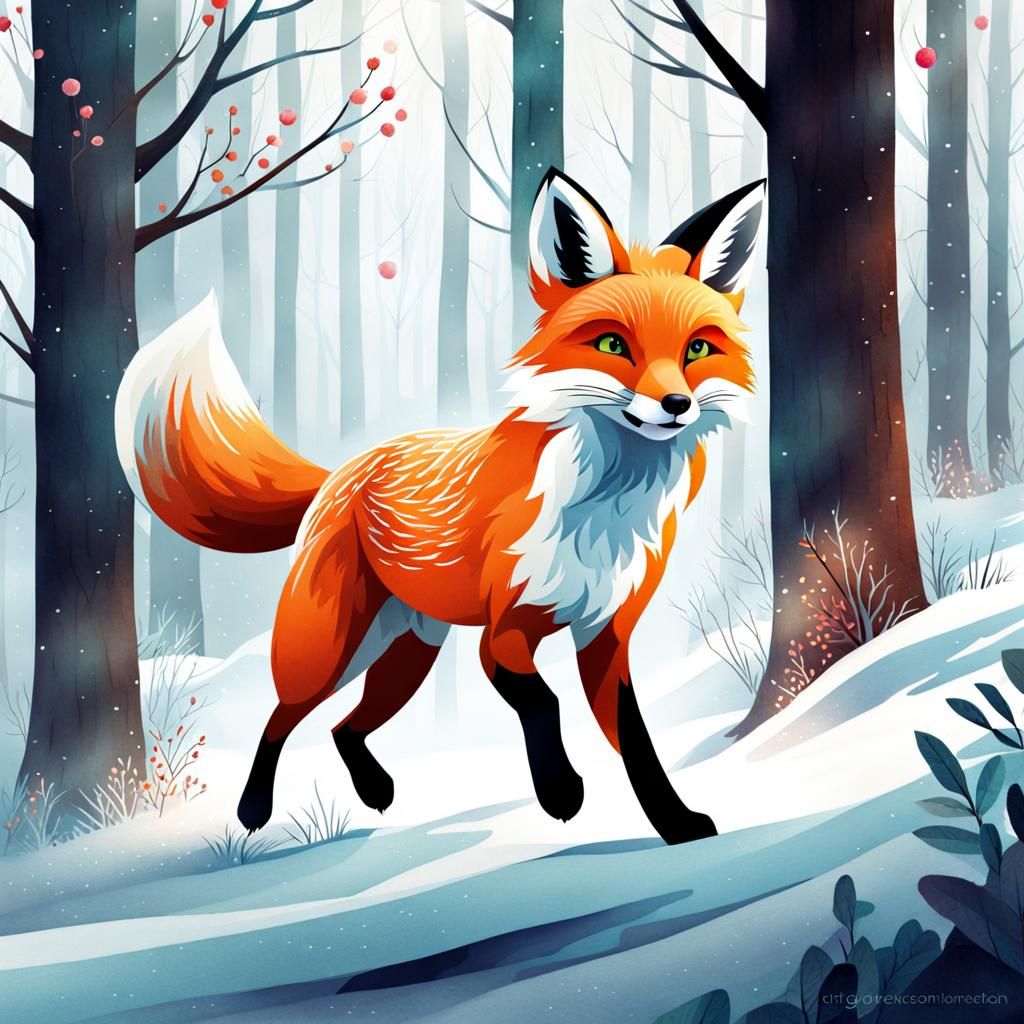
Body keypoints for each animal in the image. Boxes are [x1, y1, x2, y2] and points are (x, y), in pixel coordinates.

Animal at [116, 168, 765, 845]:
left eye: (697, 351)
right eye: (613, 344)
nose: (676, 404)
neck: (604, 507)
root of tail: (343, 470)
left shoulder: (606, 635)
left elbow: (639, 743)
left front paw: (677, 823)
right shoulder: (503, 636)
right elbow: (545, 701)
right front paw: (561, 791)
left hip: (407, 657)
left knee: (342, 727)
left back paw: (374, 789)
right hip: (329, 650)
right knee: (281, 717)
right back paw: (252, 810)